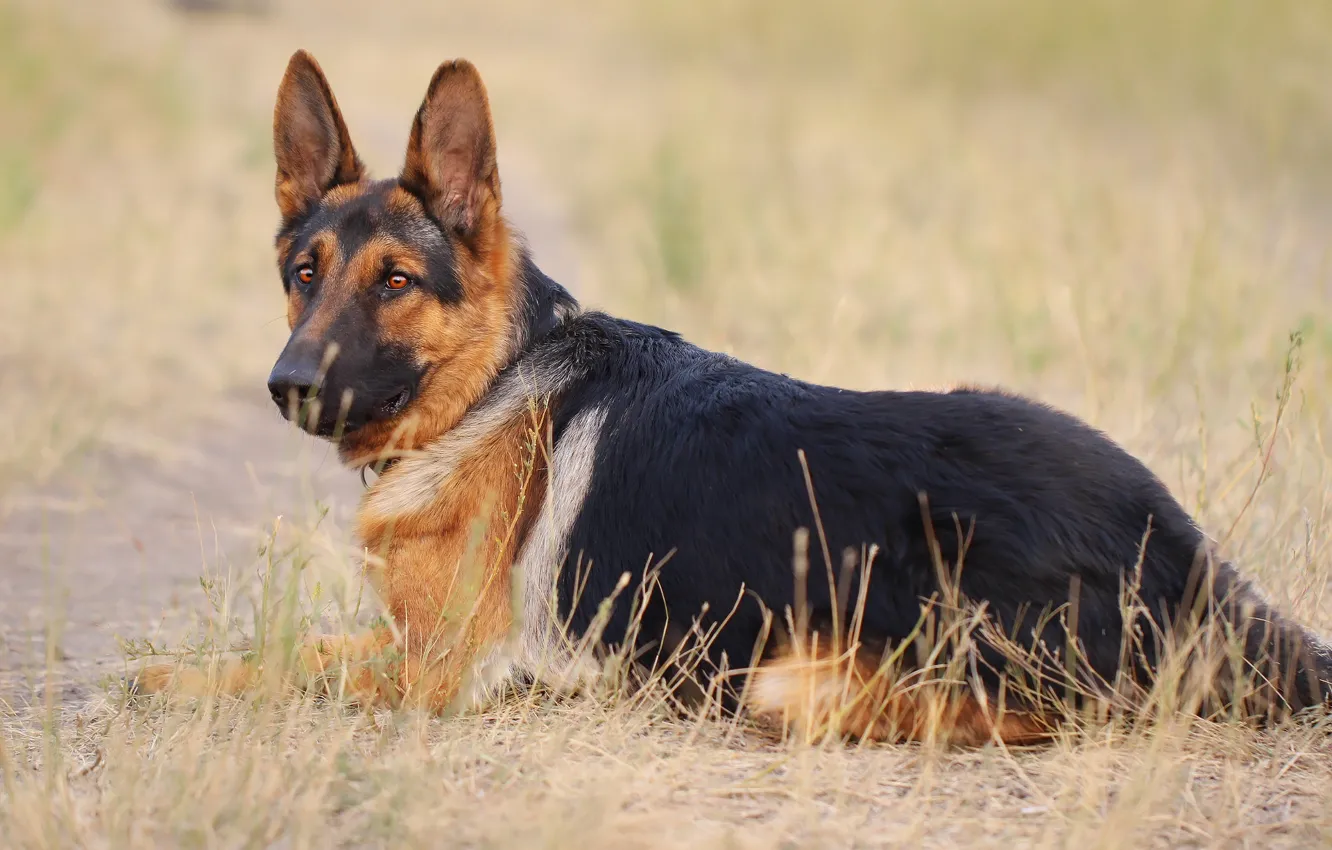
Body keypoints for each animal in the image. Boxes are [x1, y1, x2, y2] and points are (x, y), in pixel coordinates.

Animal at [132, 53, 1332, 746]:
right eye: (304, 272)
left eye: (393, 281)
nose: (288, 385)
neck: (491, 380)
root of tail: (1184, 549)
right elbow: (299, 647)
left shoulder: (438, 671)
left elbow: (283, 665)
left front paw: (167, 677)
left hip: (859, 631)